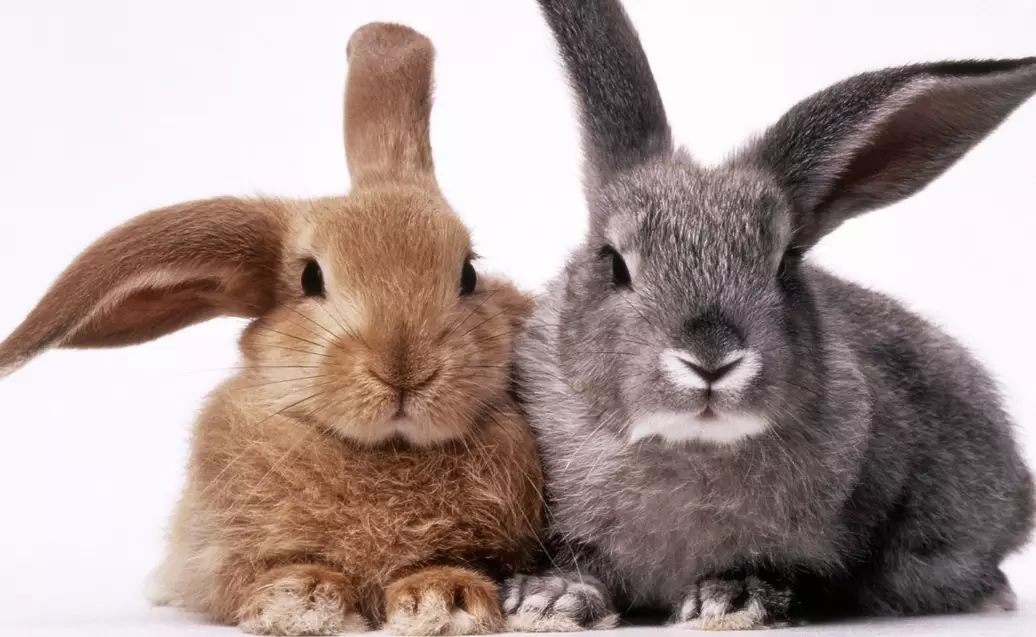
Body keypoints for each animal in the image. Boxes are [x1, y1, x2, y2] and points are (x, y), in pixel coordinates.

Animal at [0, 22, 544, 636]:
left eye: (469, 274)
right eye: (310, 278)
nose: (405, 368)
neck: (386, 451)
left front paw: (442, 598)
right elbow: (268, 572)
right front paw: (302, 597)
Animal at [502, 0, 1036, 631]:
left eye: (784, 263)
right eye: (615, 263)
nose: (711, 360)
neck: (692, 448)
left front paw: (733, 599)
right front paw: (549, 601)